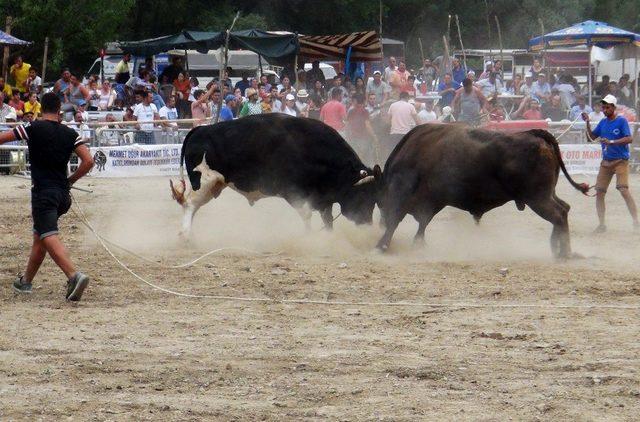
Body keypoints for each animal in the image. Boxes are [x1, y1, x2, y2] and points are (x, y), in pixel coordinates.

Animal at [376, 123, 592, 258]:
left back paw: (563, 253)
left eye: (379, 202)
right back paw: (559, 249)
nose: (380, 222)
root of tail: (535, 135)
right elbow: (422, 223)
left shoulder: (405, 194)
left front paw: (381, 245)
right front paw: (418, 245)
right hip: (547, 195)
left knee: (559, 214)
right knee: (564, 209)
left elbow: (398, 219)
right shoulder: (432, 202)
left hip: (538, 199)